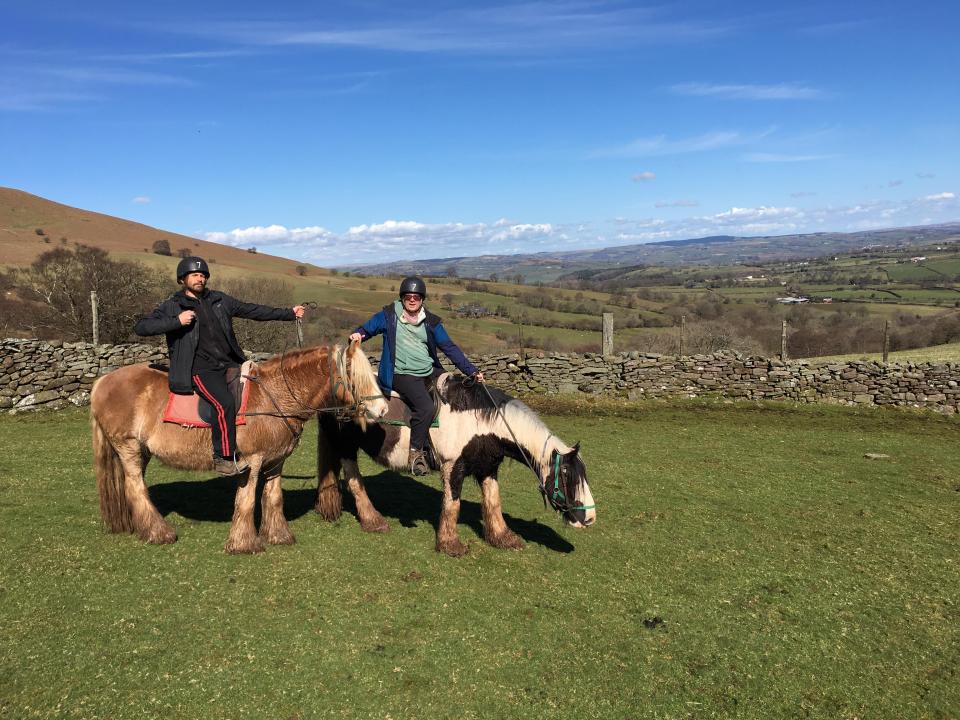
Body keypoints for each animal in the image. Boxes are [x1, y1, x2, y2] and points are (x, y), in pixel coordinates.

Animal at [90, 340, 388, 556]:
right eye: (355, 376)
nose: (383, 409)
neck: (274, 395)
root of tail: (101, 382)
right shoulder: (251, 462)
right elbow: (246, 501)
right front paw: (245, 543)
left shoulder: (276, 461)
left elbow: (273, 497)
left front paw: (279, 535)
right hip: (127, 446)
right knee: (135, 488)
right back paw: (158, 532)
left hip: (141, 451)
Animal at [316, 376, 596, 556]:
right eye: (566, 475)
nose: (590, 518)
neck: (479, 422)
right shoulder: (453, 468)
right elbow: (452, 505)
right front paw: (450, 544)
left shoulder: (487, 468)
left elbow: (493, 503)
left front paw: (503, 538)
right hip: (346, 447)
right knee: (354, 481)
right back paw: (373, 521)